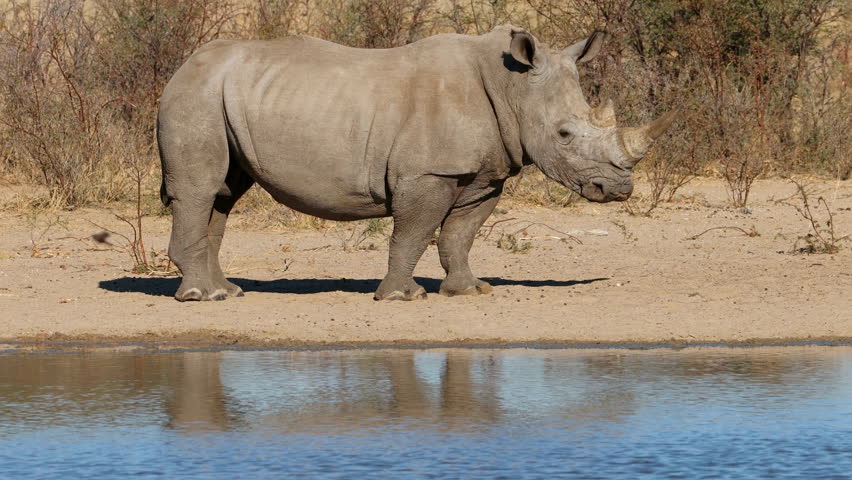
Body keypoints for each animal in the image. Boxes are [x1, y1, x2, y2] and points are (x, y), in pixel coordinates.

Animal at [158, 25, 675, 302]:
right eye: (564, 135)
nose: (618, 190)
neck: (511, 86)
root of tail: (180, 67)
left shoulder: (482, 176)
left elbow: (459, 236)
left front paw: (469, 290)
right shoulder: (428, 173)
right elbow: (413, 233)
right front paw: (402, 297)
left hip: (219, 95)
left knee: (224, 194)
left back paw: (228, 292)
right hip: (196, 95)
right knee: (201, 188)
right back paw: (202, 297)